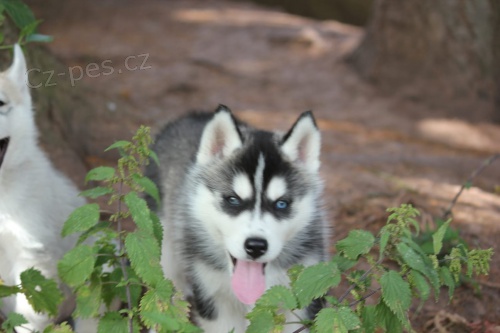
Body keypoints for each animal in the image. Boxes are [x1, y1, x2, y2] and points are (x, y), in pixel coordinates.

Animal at [146, 107, 330, 332]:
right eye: (233, 200)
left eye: (281, 204)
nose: (256, 246)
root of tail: (193, 115)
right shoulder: (214, 302)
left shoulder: (301, 294)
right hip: (164, 255)